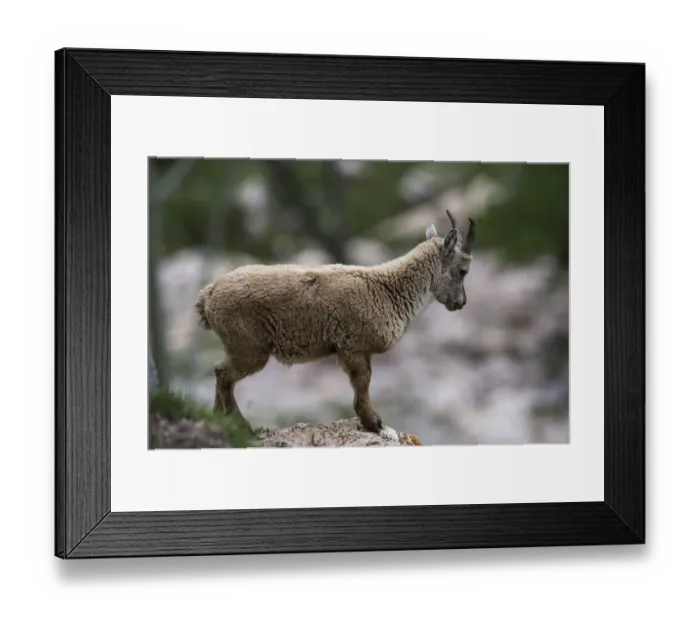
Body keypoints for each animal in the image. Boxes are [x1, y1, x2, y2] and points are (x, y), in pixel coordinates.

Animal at [195, 210, 476, 433]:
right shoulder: (353, 347)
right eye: (463, 271)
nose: (461, 303)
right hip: (249, 348)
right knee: (224, 374)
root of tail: (208, 295)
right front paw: (373, 422)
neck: (389, 290)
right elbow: (362, 384)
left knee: (218, 371)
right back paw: (239, 423)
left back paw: (219, 419)